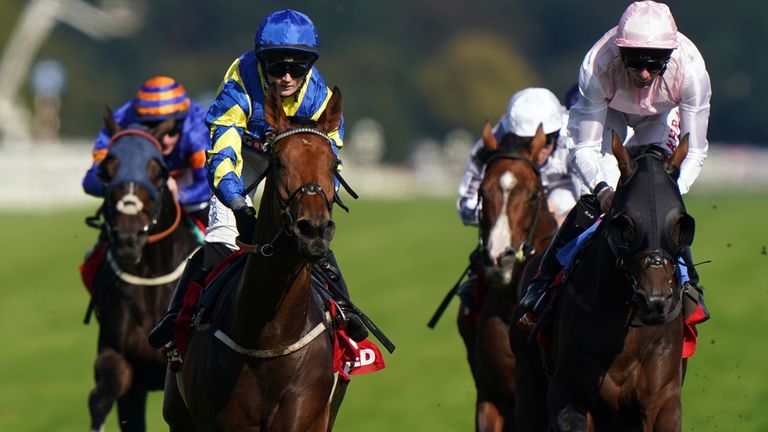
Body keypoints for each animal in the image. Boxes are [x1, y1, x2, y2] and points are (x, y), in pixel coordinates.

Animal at [87, 112, 201, 432]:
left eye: (157, 172)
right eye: (105, 171)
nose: (128, 239)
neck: (151, 280)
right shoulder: (119, 360)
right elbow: (100, 399)